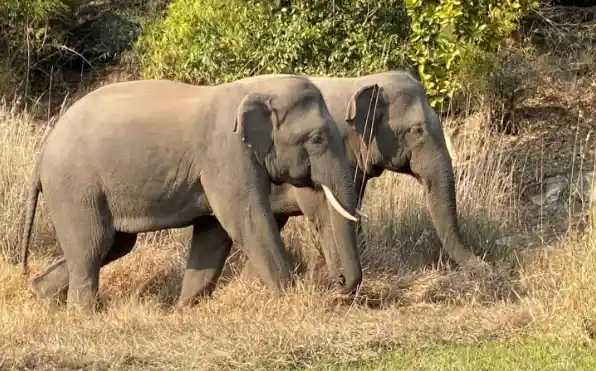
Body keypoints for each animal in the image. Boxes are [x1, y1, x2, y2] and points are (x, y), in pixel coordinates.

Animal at [21, 75, 360, 310]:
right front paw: (292, 298)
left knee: (114, 244)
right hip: (75, 187)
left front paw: (182, 310)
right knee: (94, 244)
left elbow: (213, 233)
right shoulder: (226, 154)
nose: (340, 285)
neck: (257, 88)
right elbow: (247, 221)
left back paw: (39, 294)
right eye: (317, 138)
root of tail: (43, 151)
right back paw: (83, 314)